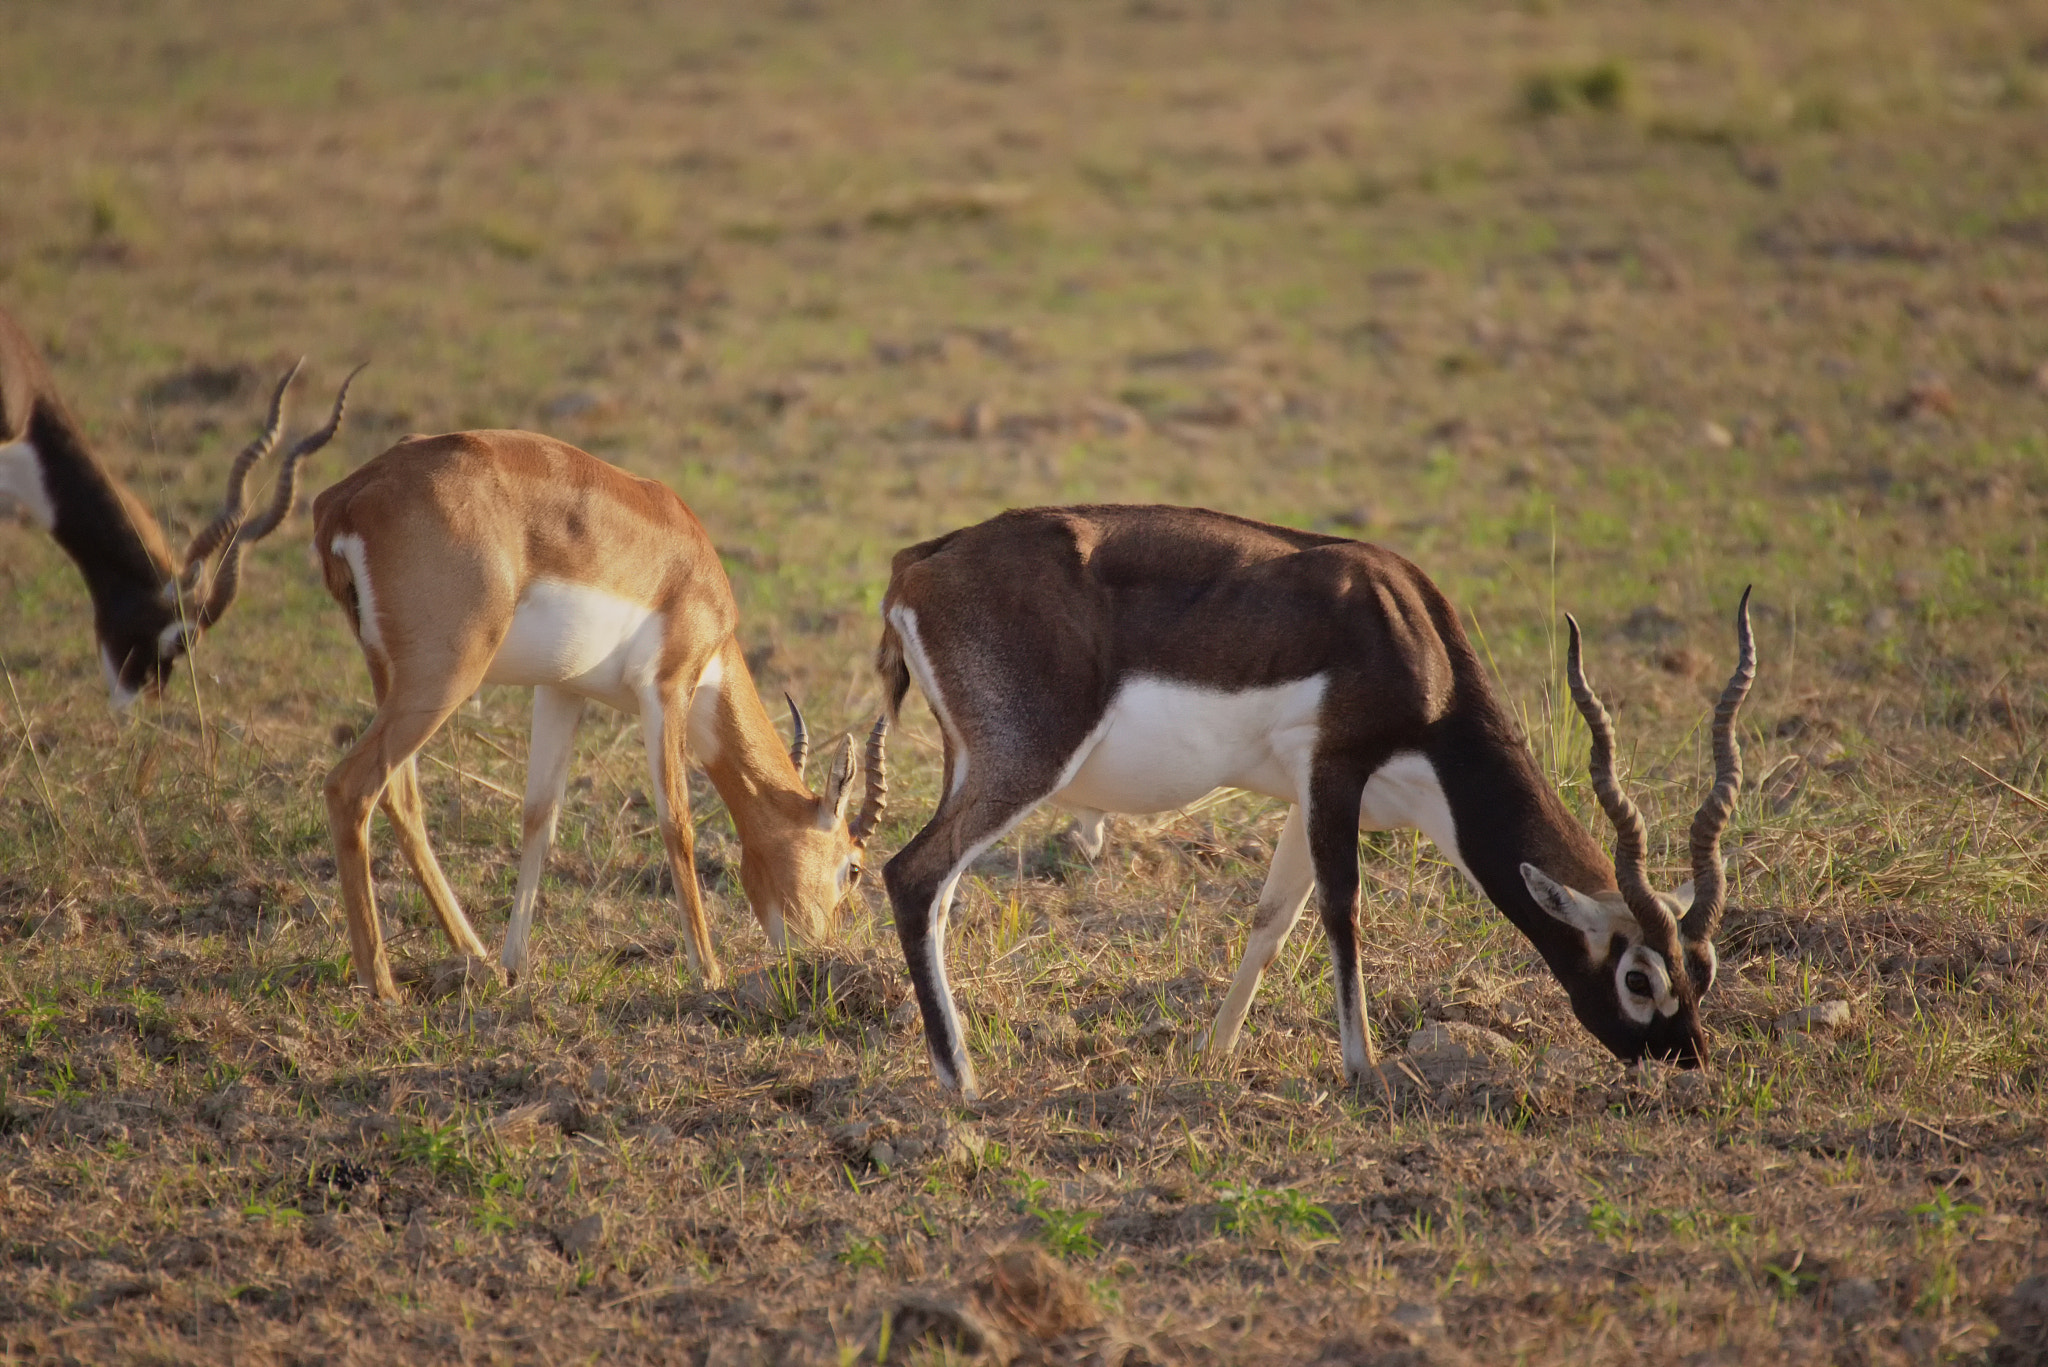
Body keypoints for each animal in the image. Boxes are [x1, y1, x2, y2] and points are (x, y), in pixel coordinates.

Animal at [307, 432, 884, 1000]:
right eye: (853, 868)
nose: (822, 953)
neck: (686, 567)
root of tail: (343, 499)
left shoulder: (561, 690)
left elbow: (538, 817)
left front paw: (515, 966)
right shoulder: (667, 691)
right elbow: (677, 823)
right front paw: (710, 973)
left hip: (392, 679)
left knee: (401, 798)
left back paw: (476, 957)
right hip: (443, 678)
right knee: (349, 788)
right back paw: (383, 986)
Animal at [872, 506, 1753, 1098]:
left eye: (1702, 969)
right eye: (1638, 977)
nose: (1689, 1061)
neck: (1413, 641)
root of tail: (920, 561)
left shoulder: (1303, 796)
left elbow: (1273, 916)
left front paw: (1213, 1052)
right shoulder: (1335, 765)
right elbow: (1341, 908)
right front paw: (1364, 1066)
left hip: (971, 766)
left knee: (936, 891)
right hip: (1025, 763)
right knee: (912, 875)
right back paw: (962, 1081)